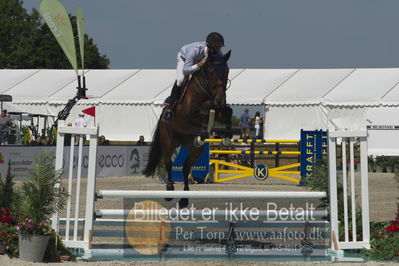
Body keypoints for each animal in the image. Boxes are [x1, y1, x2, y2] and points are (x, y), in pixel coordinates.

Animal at [143, 50, 233, 208]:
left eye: (227, 70)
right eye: (211, 71)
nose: (220, 100)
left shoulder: (219, 111)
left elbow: (228, 111)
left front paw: (227, 136)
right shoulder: (189, 113)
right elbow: (203, 112)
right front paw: (203, 130)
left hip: (194, 148)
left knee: (186, 167)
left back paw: (185, 198)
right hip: (168, 142)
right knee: (168, 163)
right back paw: (170, 190)